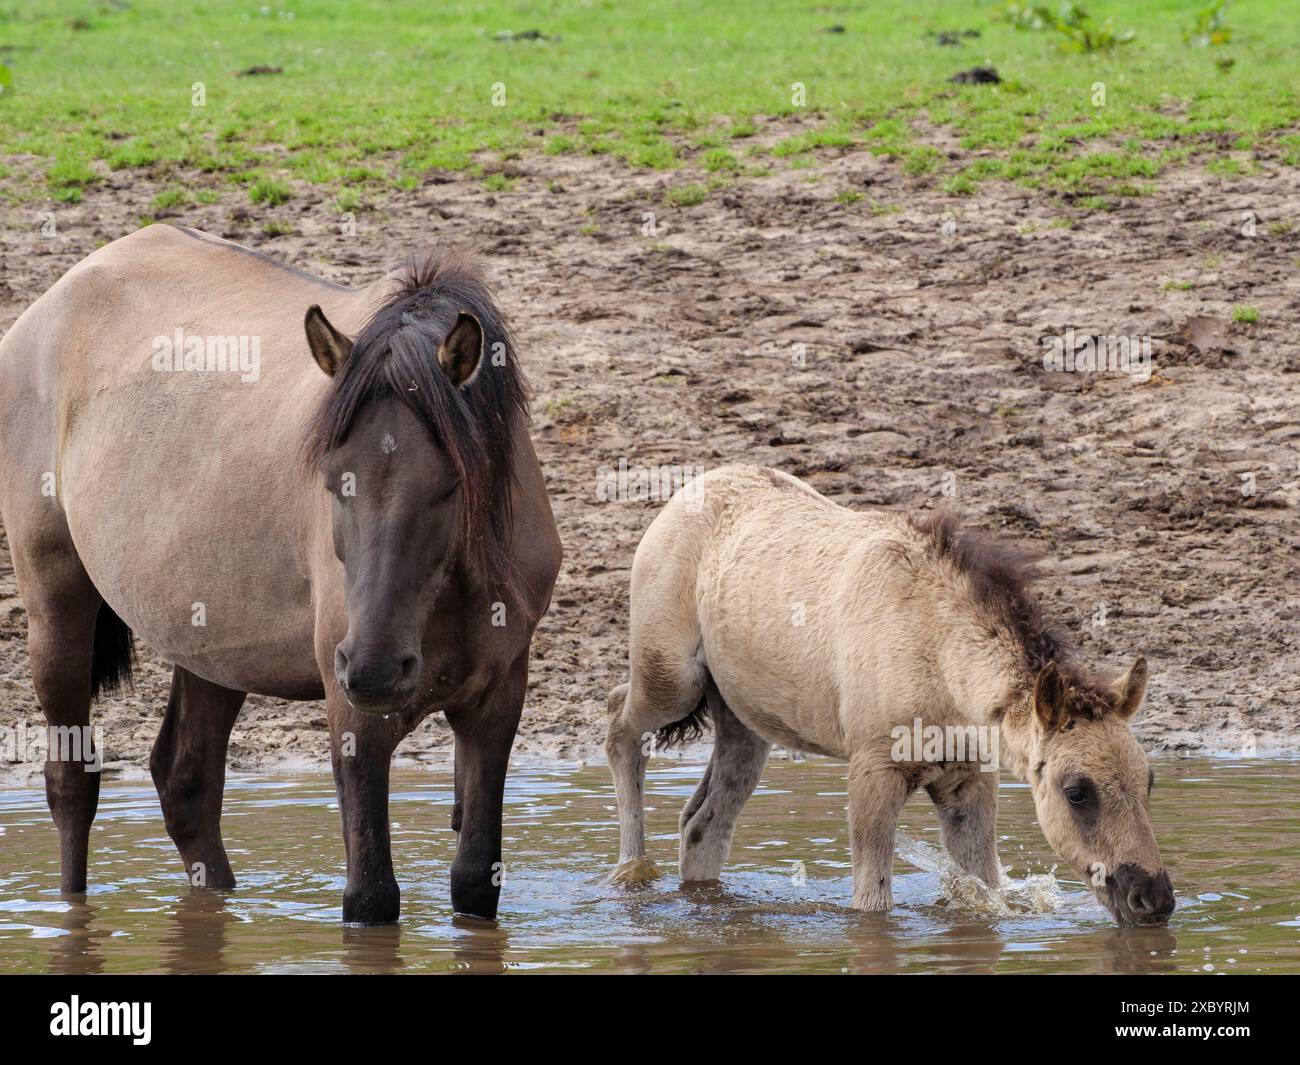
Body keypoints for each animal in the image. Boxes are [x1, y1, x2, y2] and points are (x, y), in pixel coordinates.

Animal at [0, 227, 559, 925]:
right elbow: (371, 896)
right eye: (333, 480)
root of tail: (53, 299)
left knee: (186, 783)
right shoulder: (354, 719)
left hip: (210, 646)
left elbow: (475, 883)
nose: (375, 670)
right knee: (72, 785)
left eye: (452, 484)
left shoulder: (497, 702)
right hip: (56, 606)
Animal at [608, 465, 1180, 925]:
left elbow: (982, 891)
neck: (938, 655)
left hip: (745, 724)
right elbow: (872, 904)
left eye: (1150, 782)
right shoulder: (873, 773)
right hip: (672, 682)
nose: (1152, 900)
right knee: (618, 722)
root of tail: (686, 494)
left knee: (702, 825)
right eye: (1077, 792)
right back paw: (632, 870)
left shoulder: (969, 783)